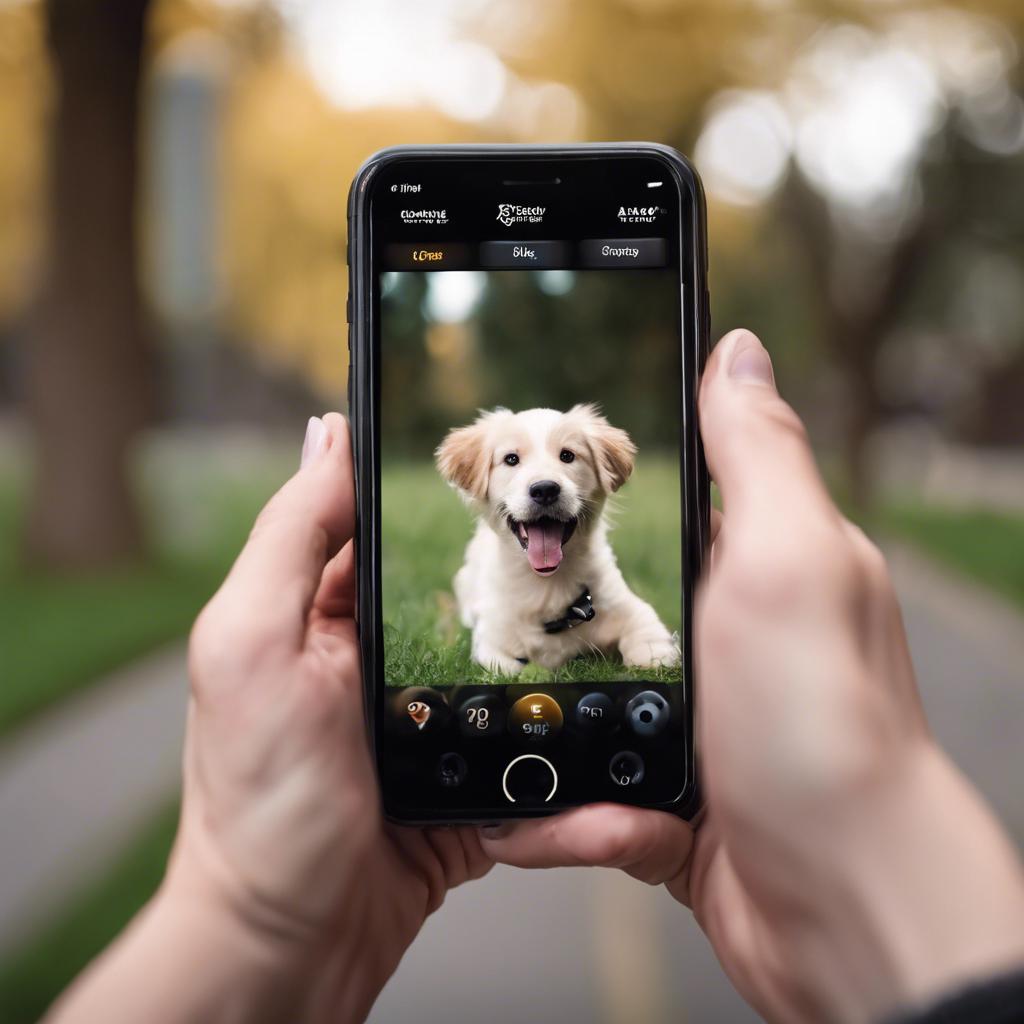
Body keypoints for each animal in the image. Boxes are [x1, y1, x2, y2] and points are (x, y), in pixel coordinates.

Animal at [434, 403, 679, 675]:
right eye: (511, 459)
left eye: (567, 456)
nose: (545, 489)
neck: (548, 584)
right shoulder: (492, 643)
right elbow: (507, 665)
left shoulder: (635, 611)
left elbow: (648, 651)